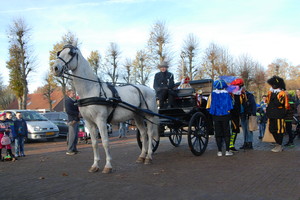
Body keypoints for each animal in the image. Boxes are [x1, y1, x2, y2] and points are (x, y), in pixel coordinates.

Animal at [51, 44, 159, 173]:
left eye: (71, 53)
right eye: (59, 53)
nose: (55, 68)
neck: (90, 90)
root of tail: (150, 90)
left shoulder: (101, 120)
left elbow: (105, 142)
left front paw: (108, 166)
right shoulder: (89, 122)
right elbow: (94, 143)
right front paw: (95, 165)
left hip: (149, 116)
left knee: (149, 134)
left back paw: (149, 157)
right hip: (137, 116)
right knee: (143, 134)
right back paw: (142, 156)